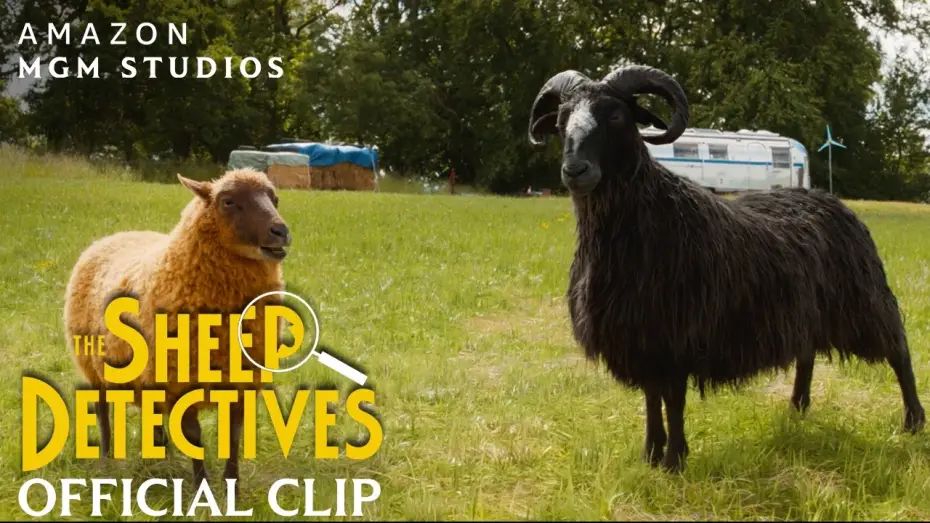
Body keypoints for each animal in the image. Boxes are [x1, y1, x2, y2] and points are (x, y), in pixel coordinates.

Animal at [64, 168, 291, 486]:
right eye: (228, 201)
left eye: (275, 199)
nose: (280, 232)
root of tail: (111, 237)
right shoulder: (181, 381)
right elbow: (194, 437)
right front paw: (201, 486)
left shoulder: (242, 381)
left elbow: (234, 435)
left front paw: (232, 485)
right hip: (93, 366)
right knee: (102, 411)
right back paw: (107, 462)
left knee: (153, 411)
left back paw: (161, 455)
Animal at [527, 64, 926, 473]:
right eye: (561, 120)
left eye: (616, 116)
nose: (575, 170)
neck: (648, 216)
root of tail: (831, 200)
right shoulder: (643, 337)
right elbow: (652, 399)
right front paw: (651, 454)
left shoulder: (676, 335)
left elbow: (673, 401)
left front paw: (675, 461)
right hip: (806, 312)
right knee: (807, 355)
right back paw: (797, 410)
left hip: (864, 301)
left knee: (899, 351)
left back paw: (912, 421)